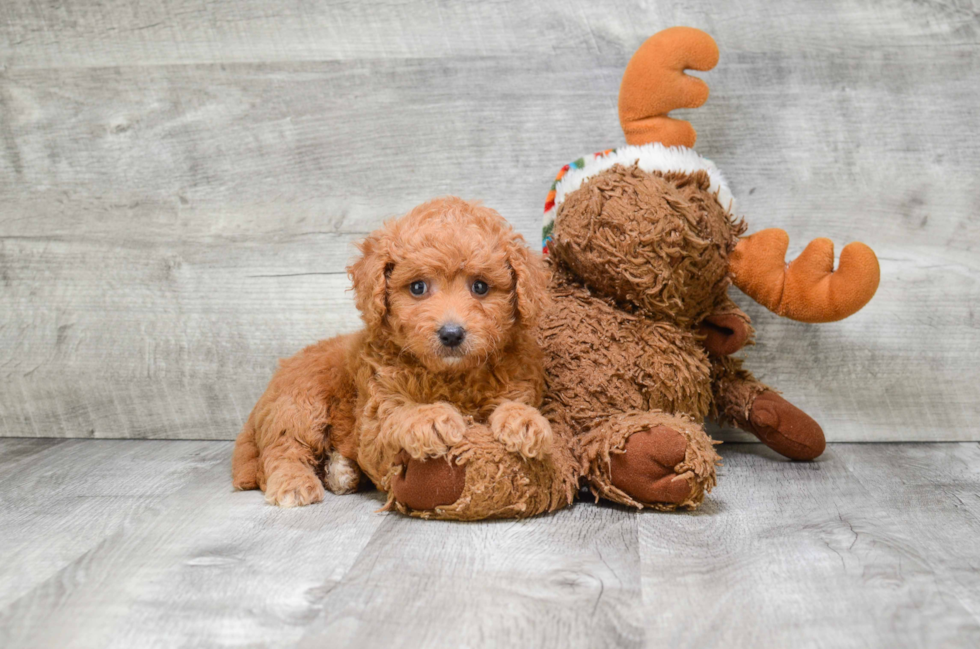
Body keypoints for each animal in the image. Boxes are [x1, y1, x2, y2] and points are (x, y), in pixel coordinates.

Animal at [231, 195, 552, 508]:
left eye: (481, 287)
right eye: (418, 287)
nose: (451, 334)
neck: (451, 376)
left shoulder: (517, 381)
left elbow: (513, 403)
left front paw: (525, 420)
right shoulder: (374, 423)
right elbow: (396, 417)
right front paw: (430, 417)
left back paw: (341, 471)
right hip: (301, 404)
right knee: (281, 450)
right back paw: (294, 483)